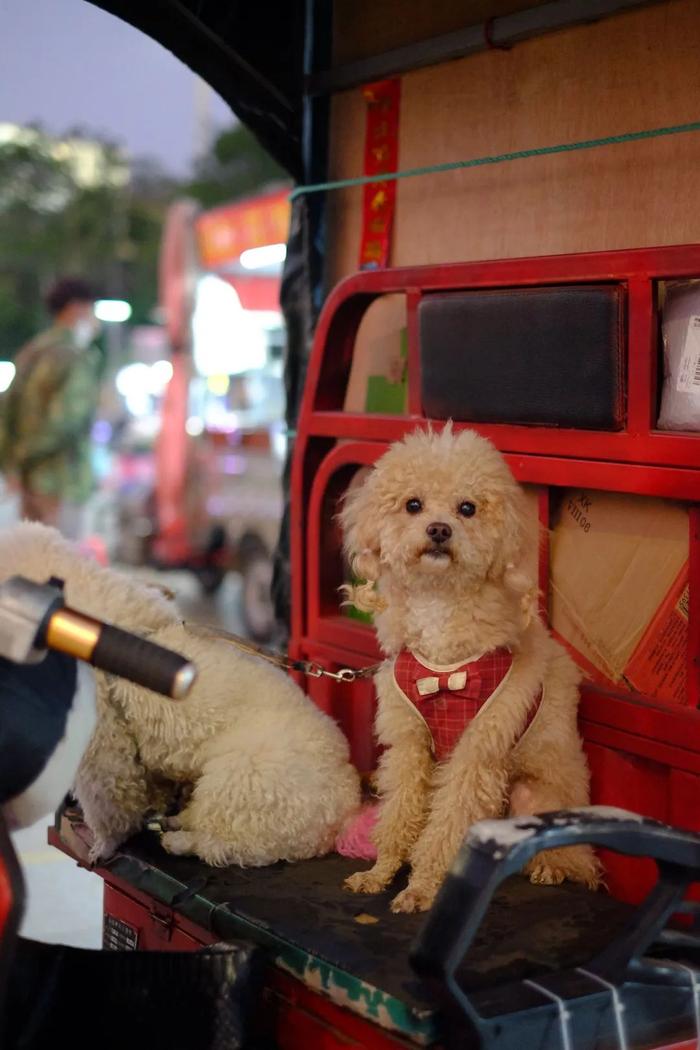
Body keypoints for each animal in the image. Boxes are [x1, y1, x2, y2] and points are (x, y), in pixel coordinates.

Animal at [0, 520, 361, 865]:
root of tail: (345, 808)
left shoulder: (103, 747)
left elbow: (111, 803)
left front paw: (104, 844)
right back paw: (178, 820)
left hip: (242, 781)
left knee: (225, 846)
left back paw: (179, 841)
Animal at [342, 424, 600, 911]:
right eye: (413, 504)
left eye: (468, 508)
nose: (440, 530)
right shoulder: (409, 745)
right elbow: (400, 809)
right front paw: (380, 871)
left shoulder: (476, 755)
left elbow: (448, 827)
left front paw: (422, 887)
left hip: (532, 794)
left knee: (579, 860)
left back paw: (552, 867)